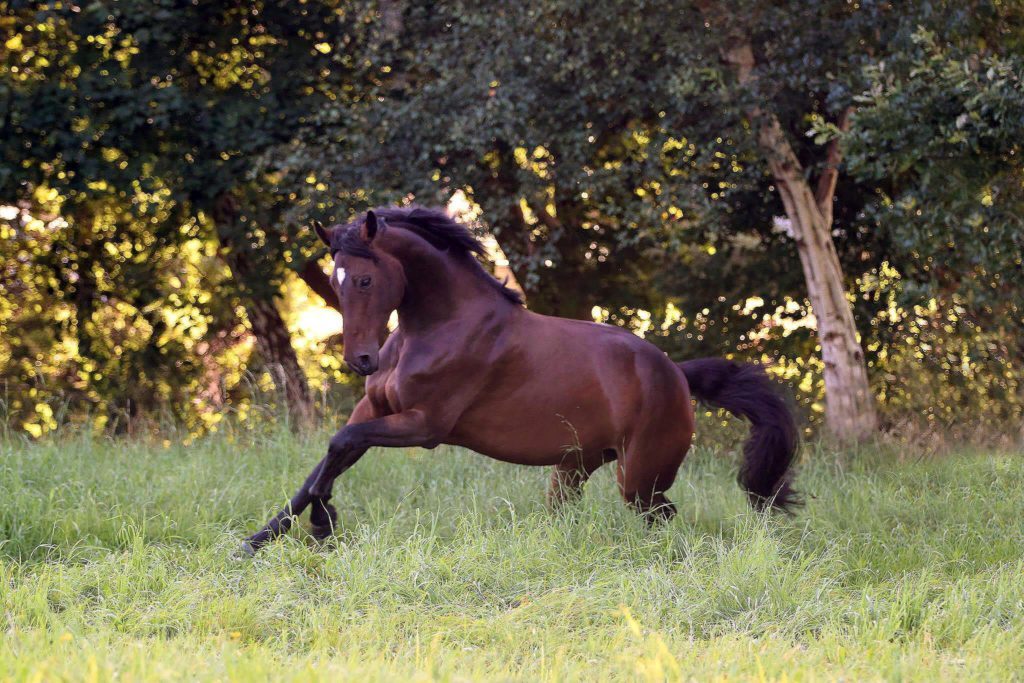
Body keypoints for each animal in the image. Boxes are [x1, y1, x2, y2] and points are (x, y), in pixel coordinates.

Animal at [241, 205, 798, 552]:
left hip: (639, 475)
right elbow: (326, 460)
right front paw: (258, 541)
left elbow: (339, 446)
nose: (361, 360)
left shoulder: (424, 426)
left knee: (661, 515)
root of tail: (676, 375)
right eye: (334, 282)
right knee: (571, 513)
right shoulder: (376, 410)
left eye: (363, 279)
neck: (440, 324)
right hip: (575, 466)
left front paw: (321, 525)